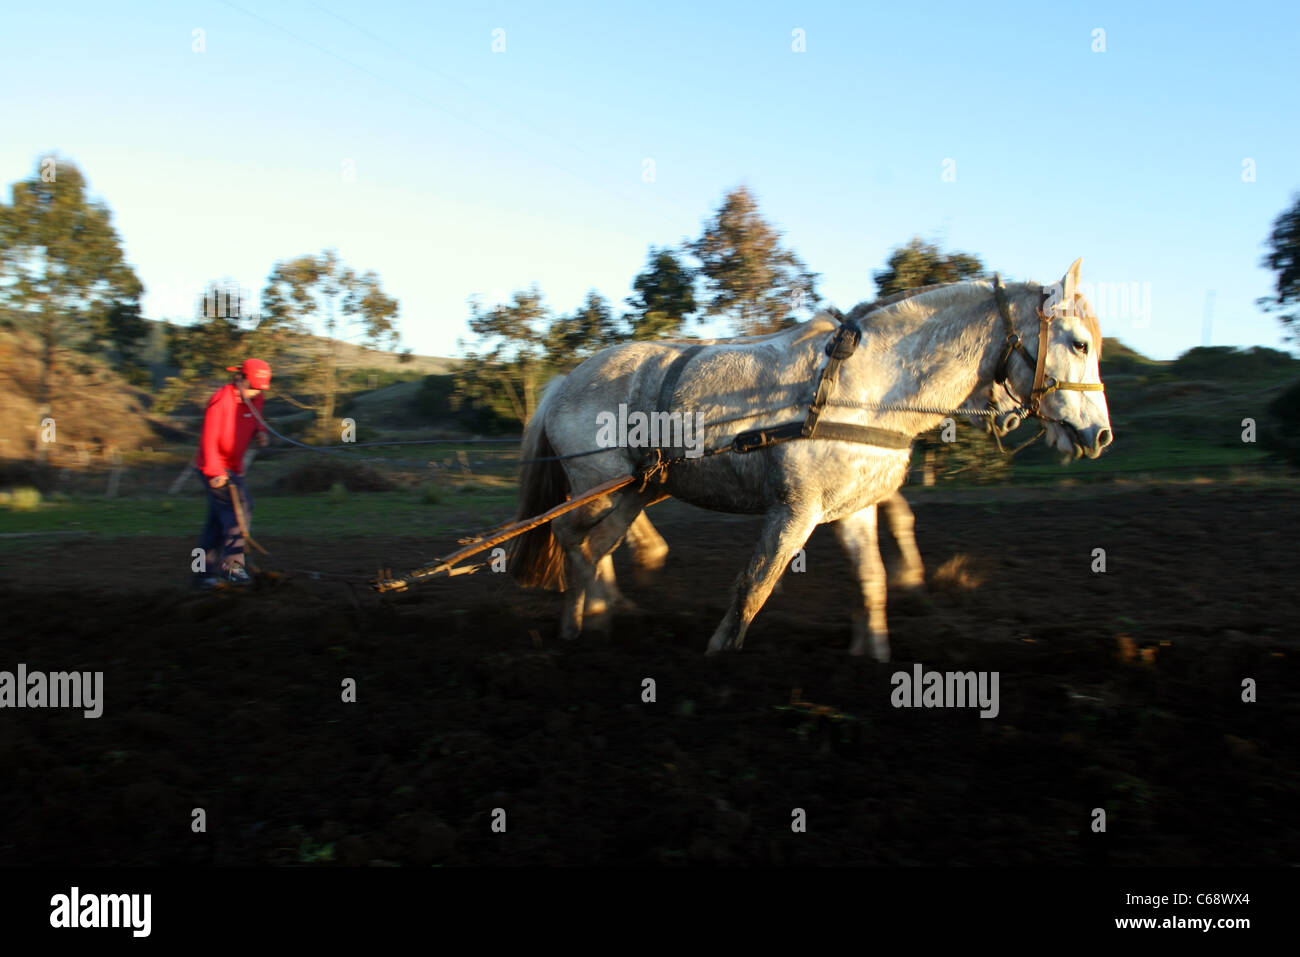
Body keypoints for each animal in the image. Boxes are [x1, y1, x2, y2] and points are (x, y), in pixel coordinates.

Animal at [509, 259, 1111, 661]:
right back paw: (580, 621)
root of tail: (566, 380)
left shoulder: (854, 509)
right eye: (1079, 343)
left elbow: (873, 579)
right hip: (598, 483)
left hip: (636, 489)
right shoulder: (794, 512)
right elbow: (755, 586)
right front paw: (719, 654)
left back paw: (605, 611)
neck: (866, 389)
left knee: (598, 546)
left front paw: (873, 652)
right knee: (571, 537)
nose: (1099, 434)